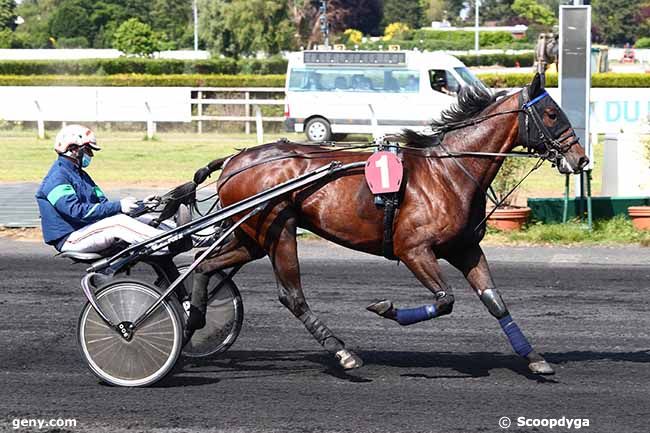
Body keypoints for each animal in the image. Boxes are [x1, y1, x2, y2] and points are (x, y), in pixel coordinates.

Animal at [189, 72, 588, 372]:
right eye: (551, 114)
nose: (581, 159)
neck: (449, 172)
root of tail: (235, 161)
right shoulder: (414, 250)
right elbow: (445, 299)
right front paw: (386, 308)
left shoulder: (465, 248)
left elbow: (494, 300)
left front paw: (534, 358)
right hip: (278, 231)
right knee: (292, 295)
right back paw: (342, 351)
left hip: (251, 236)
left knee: (206, 265)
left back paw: (194, 320)